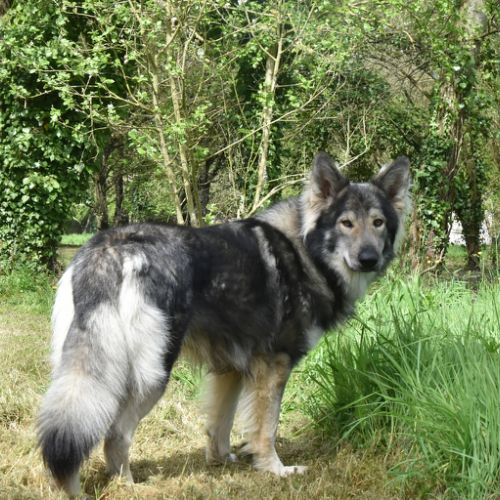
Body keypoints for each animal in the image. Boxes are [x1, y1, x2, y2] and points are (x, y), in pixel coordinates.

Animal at [38, 152, 410, 496]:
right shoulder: (274, 366)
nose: (368, 258)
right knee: (115, 434)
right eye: (346, 223)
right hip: (153, 373)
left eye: (378, 222)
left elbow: (220, 424)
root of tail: (109, 249)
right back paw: (127, 486)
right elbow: (267, 427)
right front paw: (276, 469)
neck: (305, 250)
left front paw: (221, 461)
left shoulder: (230, 369)